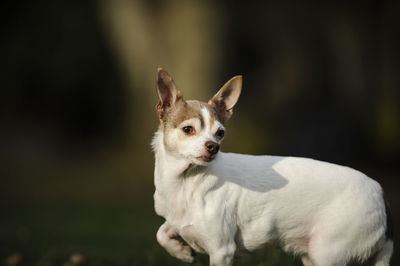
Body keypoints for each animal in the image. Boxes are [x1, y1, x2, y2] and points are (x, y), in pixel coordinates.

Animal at [153, 67, 394, 264]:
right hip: (313, 255)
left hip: (329, 251)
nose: (213, 146)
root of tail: (380, 194)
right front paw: (181, 251)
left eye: (220, 133)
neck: (186, 181)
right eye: (188, 130)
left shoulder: (221, 251)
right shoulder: (178, 220)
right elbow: (161, 233)